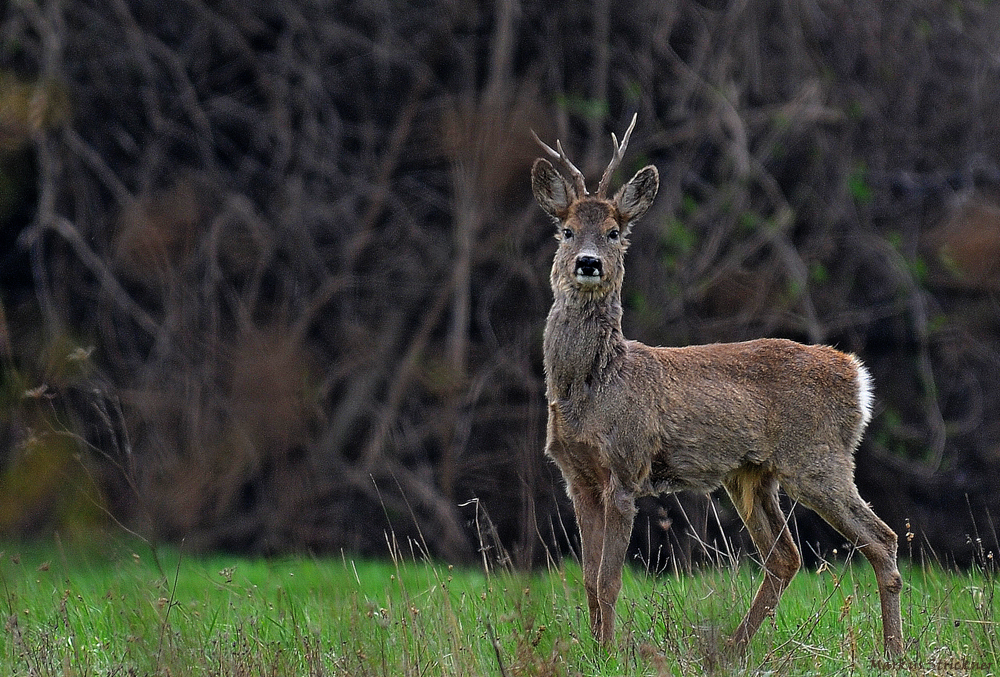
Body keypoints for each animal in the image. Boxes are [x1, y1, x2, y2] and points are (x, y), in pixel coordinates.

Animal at [536, 115, 904, 656]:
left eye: (613, 232)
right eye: (565, 231)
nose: (588, 263)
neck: (596, 386)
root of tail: (856, 375)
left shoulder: (626, 465)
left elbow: (608, 580)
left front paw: (609, 653)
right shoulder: (577, 476)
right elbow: (585, 579)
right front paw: (596, 648)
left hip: (816, 457)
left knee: (881, 539)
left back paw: (894, 652)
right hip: (752, 474)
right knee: (786, 557)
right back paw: (732, 649)